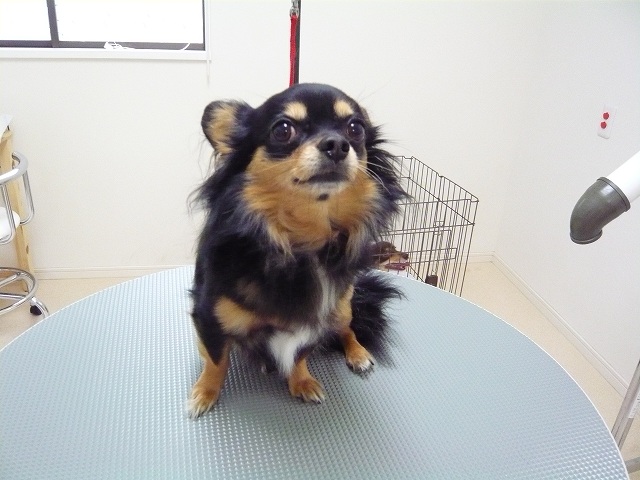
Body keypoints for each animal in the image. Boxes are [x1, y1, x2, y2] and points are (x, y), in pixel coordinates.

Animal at [188, 83, 406, 418]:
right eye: (283, 130)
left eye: (355, 128)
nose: (337, 144)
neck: (300, 240)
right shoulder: (207, 315)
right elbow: (216, 359)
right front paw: (205, 392)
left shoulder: (317, 317)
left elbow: (301, 353)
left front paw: (301, 381)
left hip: (342, 305)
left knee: (348, 329)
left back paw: (358, 354)